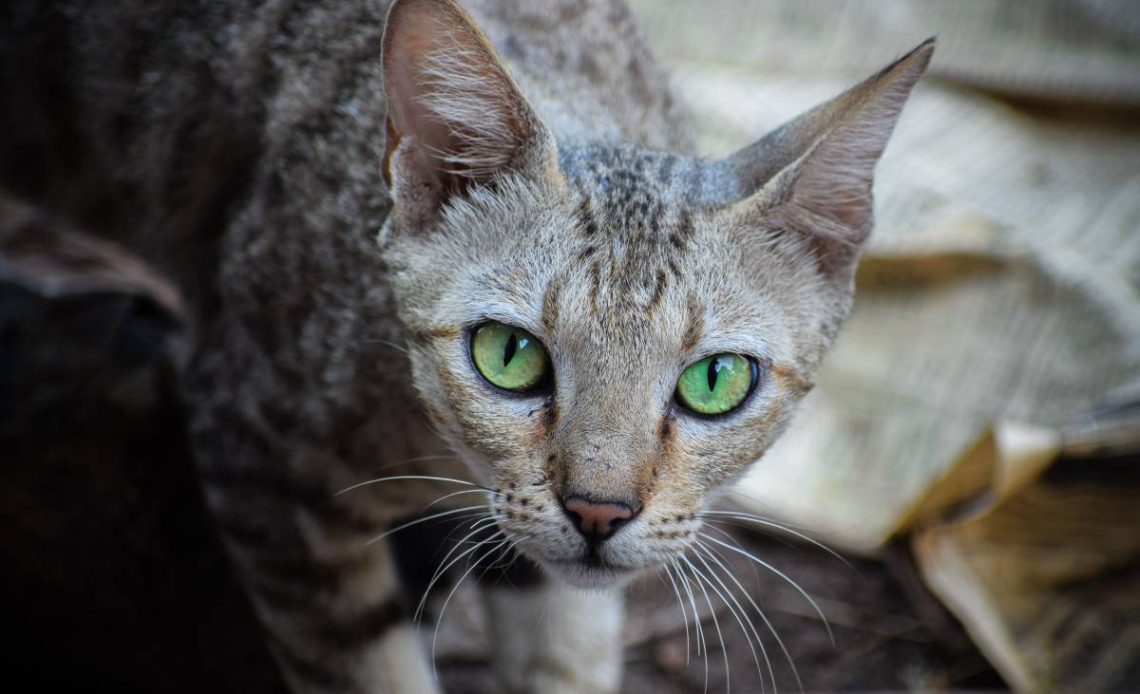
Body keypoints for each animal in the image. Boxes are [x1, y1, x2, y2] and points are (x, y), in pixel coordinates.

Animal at [0, 0, 930, 688]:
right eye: (509, 356)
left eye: (715, 380)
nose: (599, 512)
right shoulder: (254, 449)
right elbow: (367, 669)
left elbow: (565, 650)